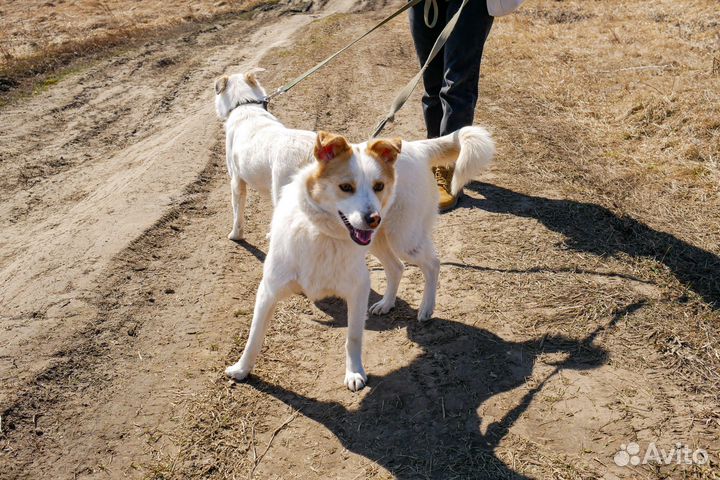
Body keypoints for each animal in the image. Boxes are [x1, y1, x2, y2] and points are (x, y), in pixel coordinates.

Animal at [215, 70, 496, 390]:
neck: (321, 235)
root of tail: (414, 147)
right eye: (345, 187)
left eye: (378, 186)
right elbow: (253, 336)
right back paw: (386, 304)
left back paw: (426, 308)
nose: (372, 217)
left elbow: (353, 336)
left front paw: (354, 373)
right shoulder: (268, 291)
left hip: (404, 238)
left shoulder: (358, 288)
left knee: (432, 264)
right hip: (378, 241)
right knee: (397, 268)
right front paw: (241, 369)